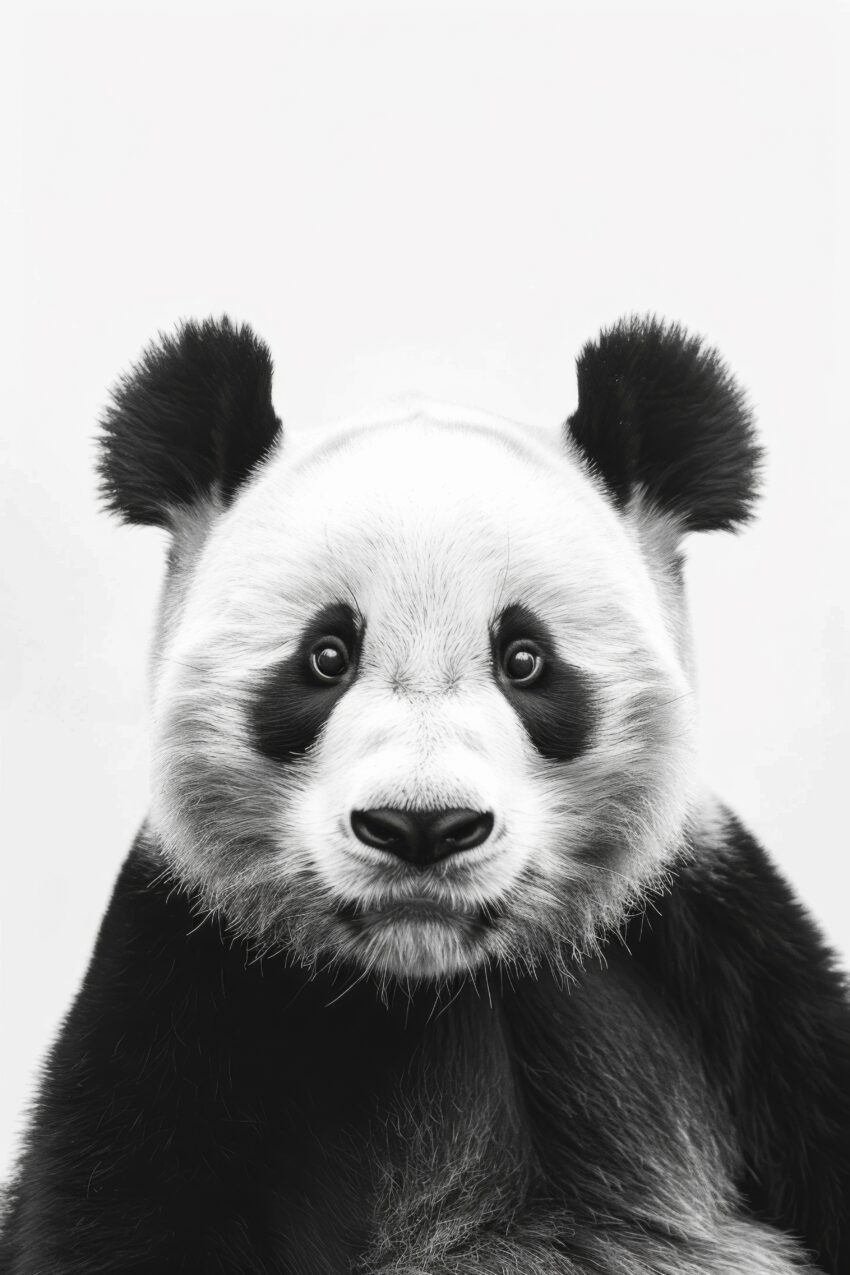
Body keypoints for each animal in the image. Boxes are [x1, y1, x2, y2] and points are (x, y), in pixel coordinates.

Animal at [1, 316, 848, 1274]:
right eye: (326, 656)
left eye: (526, 660)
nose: (422, 826)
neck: (433, 984)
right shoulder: (190, 975)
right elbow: (122, 1191)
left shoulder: (714, 947)